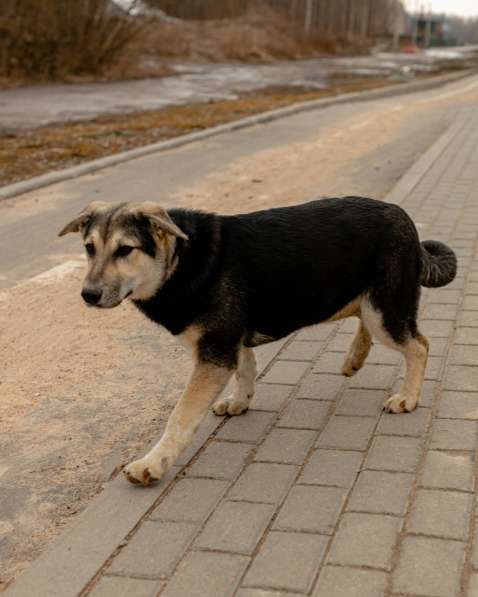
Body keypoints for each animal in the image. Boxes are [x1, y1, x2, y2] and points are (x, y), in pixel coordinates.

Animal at [58, 198, 458, 486]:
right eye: (89, 248)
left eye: (125, 250)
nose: (88, 295)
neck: (180, 260)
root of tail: (403, 216)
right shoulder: (231, 344)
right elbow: (246, 369)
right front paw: (240, 401)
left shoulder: (214, 354)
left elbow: (180, 416)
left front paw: (152, 463)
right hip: (370, 304)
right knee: (367, 322)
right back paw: (354, 358)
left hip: (384, 309)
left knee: (419, 345)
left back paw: (408, 396)